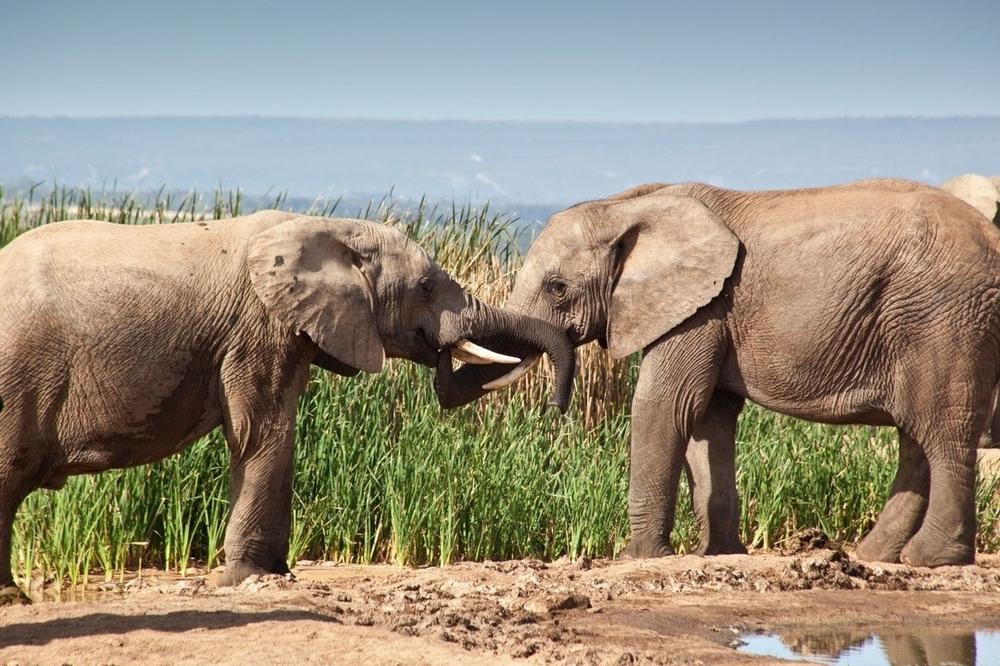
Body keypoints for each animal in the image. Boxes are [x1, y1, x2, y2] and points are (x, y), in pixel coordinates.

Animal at [0, 209, 576, 600]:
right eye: (427, 287)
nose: (558, 406)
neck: (329, 227)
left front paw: (277, 575)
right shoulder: (259, 327)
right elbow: (265, 432)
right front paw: (252, 579)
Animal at [442, 180, 1000, 564]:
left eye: (557, 288)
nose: (556, 405)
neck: (629, 205)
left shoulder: (702, 308)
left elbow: (664, 404)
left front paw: (636, 559)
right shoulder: (709, 311)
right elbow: (708, 418)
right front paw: (720, 555)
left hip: (943, 316)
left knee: (942, 430)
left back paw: (930, 560)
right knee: (917, 437)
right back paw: (876, 557)